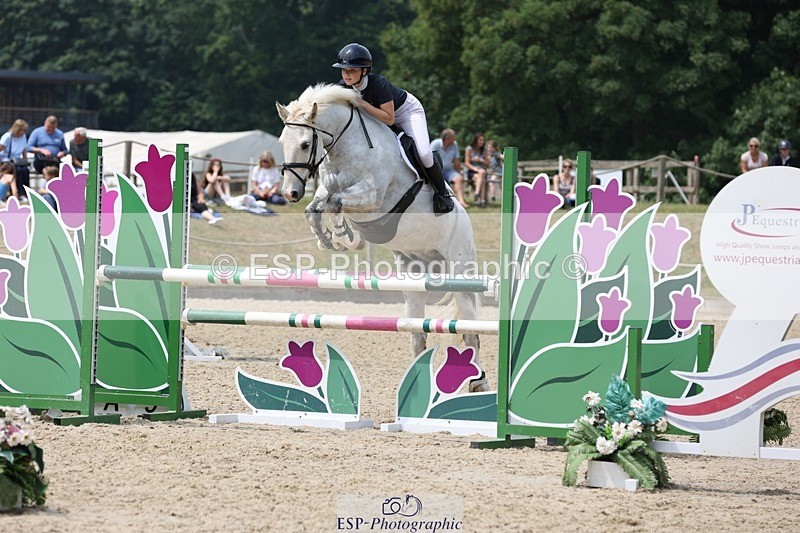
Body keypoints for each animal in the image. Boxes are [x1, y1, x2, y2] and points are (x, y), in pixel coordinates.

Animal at [275, 83, 487, 392]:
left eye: (304, 144)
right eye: (281, 141)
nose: (289, 193)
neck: (345, 147)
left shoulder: (372, 196)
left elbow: (336, 204)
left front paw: (345, 237)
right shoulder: (326, 189)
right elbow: (314, 209)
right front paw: (327, 240)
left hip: (461, 273)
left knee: (471, 331)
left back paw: (478, 383)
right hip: (414, 279)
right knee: (418, 333)